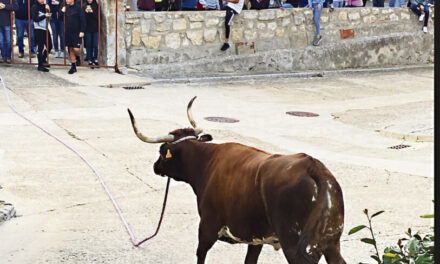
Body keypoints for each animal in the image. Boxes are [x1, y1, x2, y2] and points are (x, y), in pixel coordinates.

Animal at [128, 97, 348, 264]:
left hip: (296, 247)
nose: (155, 166)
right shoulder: (256, 239)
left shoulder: (207, 226)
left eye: (162, 150)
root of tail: (312, 166)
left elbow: (200, 255)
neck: (206, 161)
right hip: (331, 244)